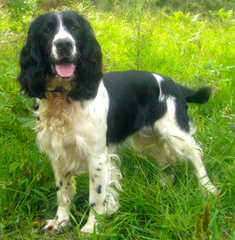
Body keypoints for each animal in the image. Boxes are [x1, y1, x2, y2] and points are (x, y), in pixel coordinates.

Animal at [17, 10, 217, 232]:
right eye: (47, 30)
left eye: (74, 28)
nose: (64, 44)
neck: (65, 97)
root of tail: (174, 84)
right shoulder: (58, 154)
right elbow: (63, 192)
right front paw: (61, 221)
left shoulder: (97, 156)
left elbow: (96, 196)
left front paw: (92, 227)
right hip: (147, 139)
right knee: (166, 160)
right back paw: (163, 186)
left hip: (175, 133)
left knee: (196, 156)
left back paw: (208, 189)